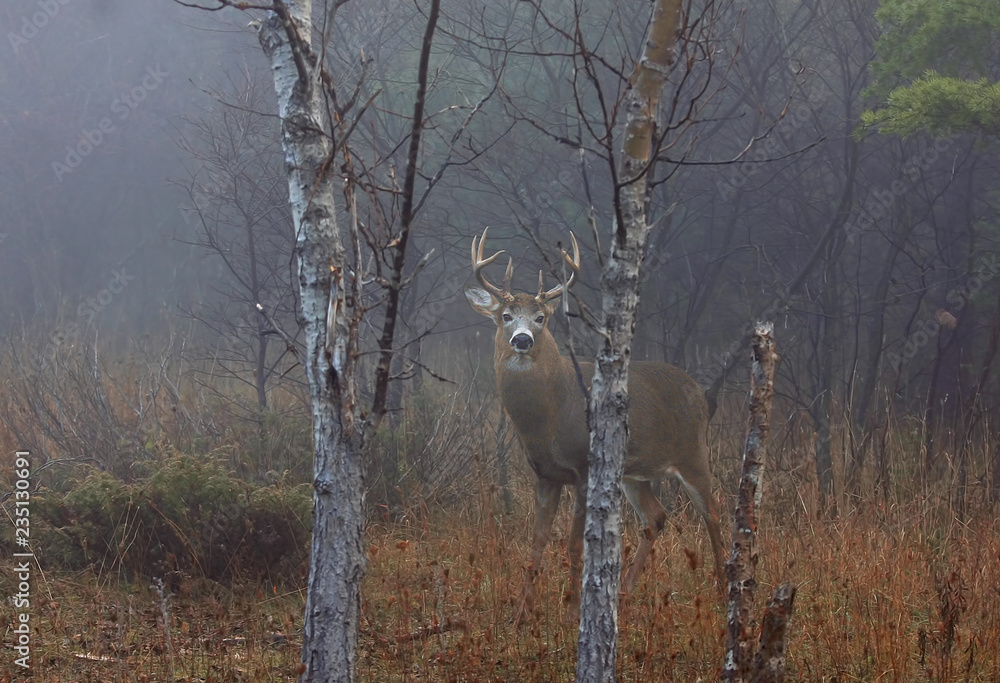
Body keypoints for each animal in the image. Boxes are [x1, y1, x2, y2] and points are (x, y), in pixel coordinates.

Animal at [465, 228, 726, 623]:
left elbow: (575, 544)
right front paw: (522, 612)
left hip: (694, 453)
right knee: (656, 517)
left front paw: (573, 608)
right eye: (506, 315)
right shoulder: (546, 474)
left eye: (541, 318)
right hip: (634, 474)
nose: (522, 339)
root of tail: (701, 394)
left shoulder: (584, 468)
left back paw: (725, 589)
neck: (552, 411)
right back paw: (626, 592)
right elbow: (536, 542)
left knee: (713, 513)